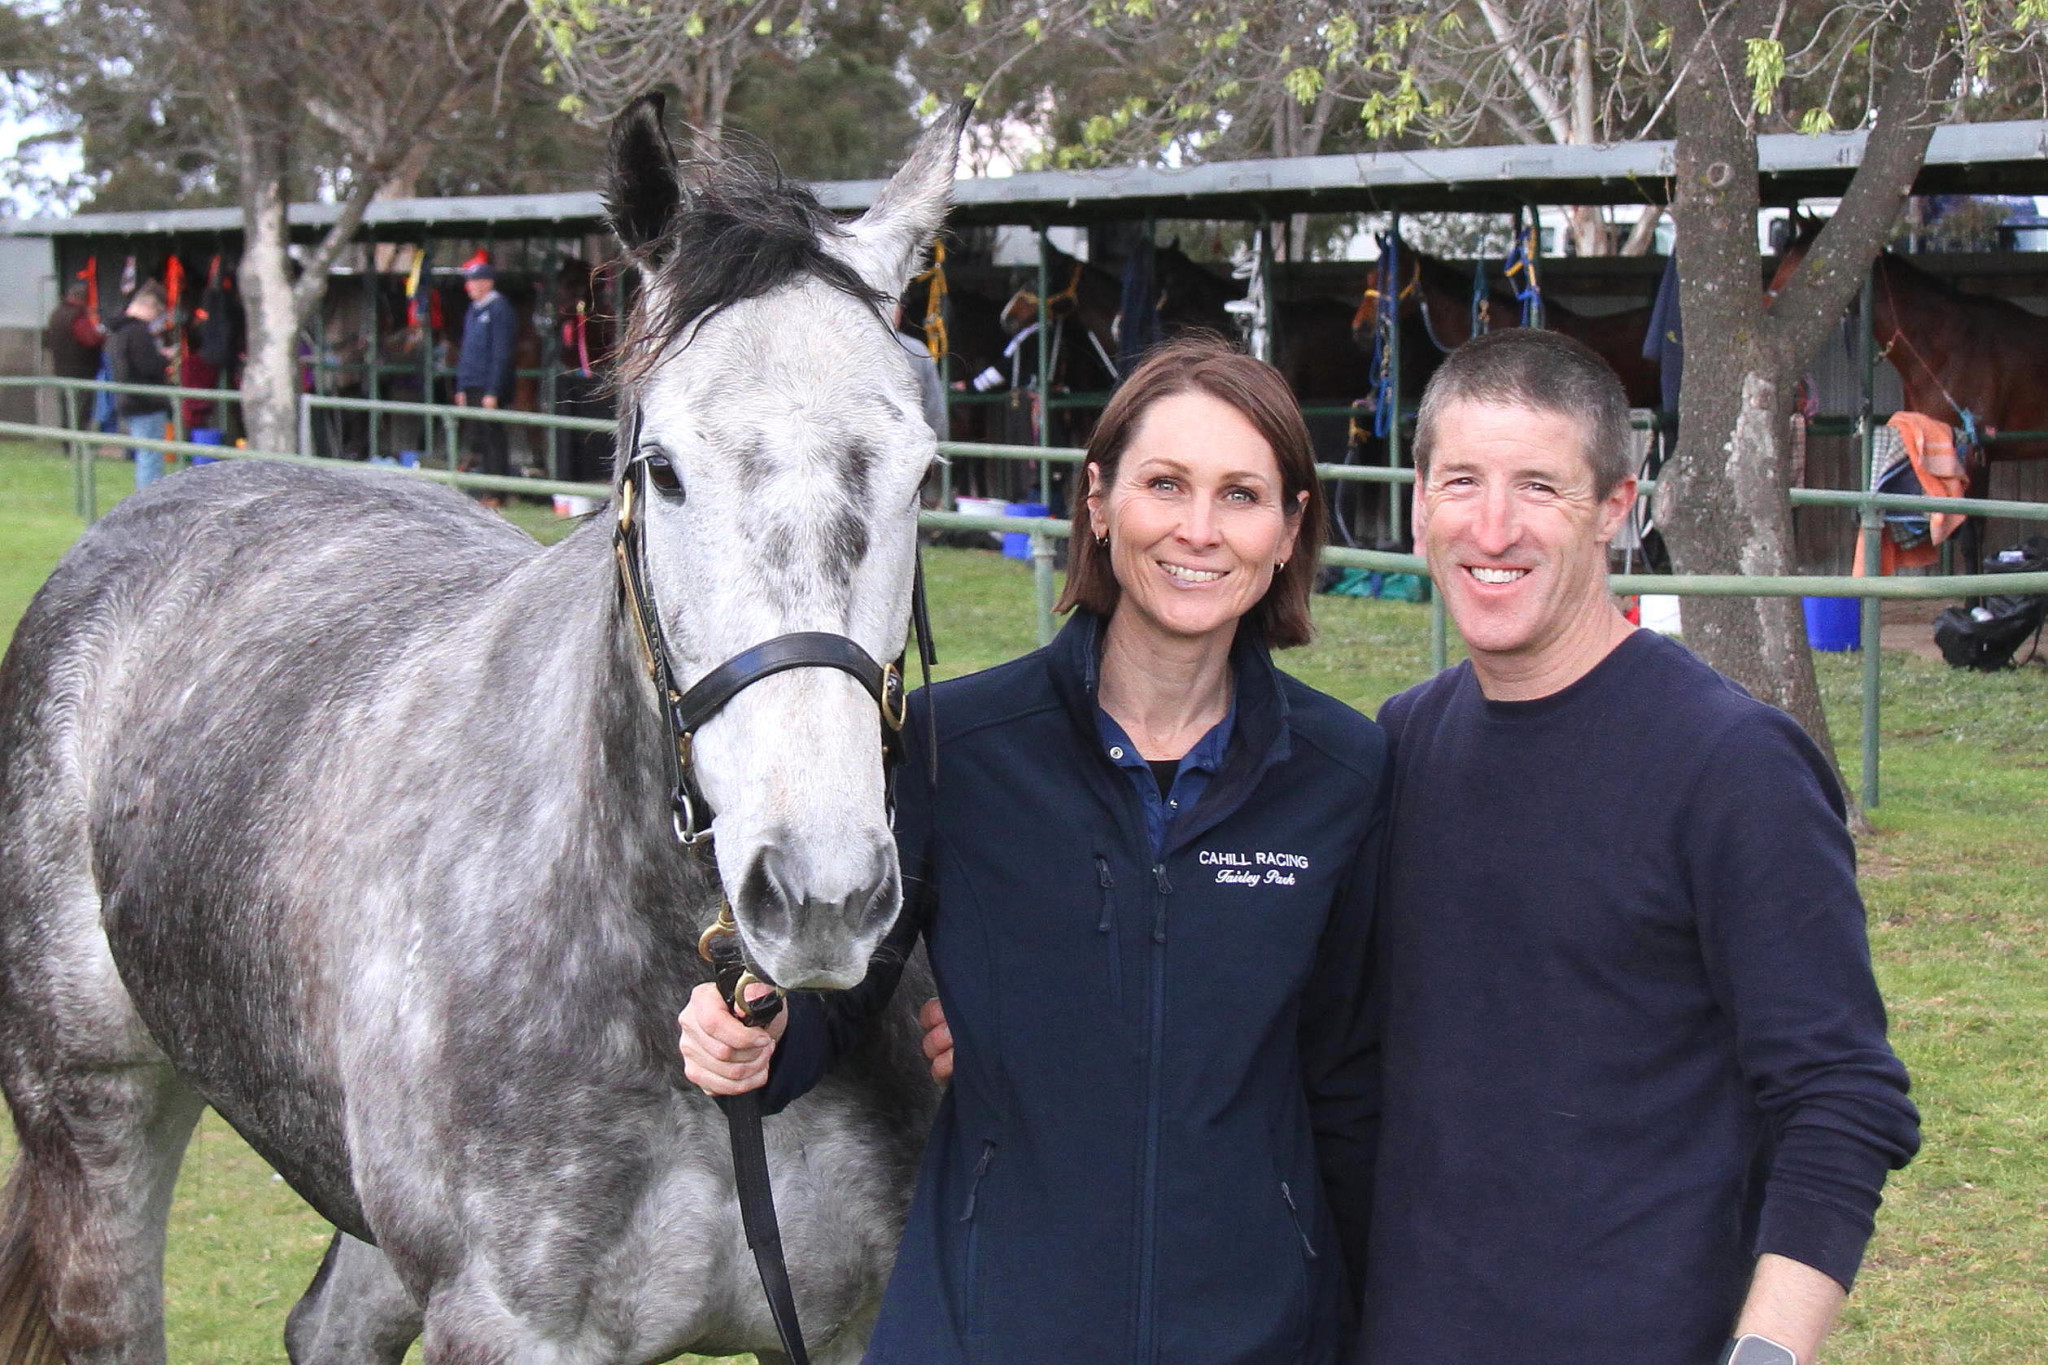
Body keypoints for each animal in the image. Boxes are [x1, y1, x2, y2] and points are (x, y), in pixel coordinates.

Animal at [0, 96, 958, 1365]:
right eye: (661, 470)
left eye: (922, 471)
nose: (820, 893)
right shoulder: (506, 1327)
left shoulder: (849, 1323)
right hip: (92, 1125)